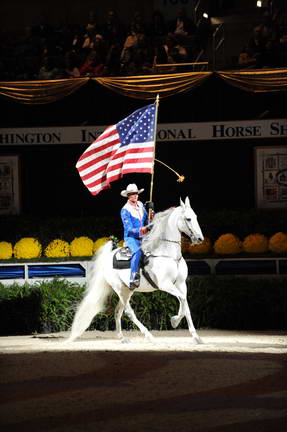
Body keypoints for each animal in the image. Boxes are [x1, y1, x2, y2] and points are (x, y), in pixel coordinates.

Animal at [68, 198, 205, 344]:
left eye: (196, 217)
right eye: (188, 219)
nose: (200, 239)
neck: (169, 254)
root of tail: (108, 258)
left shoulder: (181, 284)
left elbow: (185, 304)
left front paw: (195, 336)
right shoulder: (165, 284)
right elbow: (182, 299)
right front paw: (174, 321)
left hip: (127, 290)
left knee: (118, 312)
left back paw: (122, 338)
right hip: (120, 289)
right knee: (129, 312)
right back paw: (148, 335)